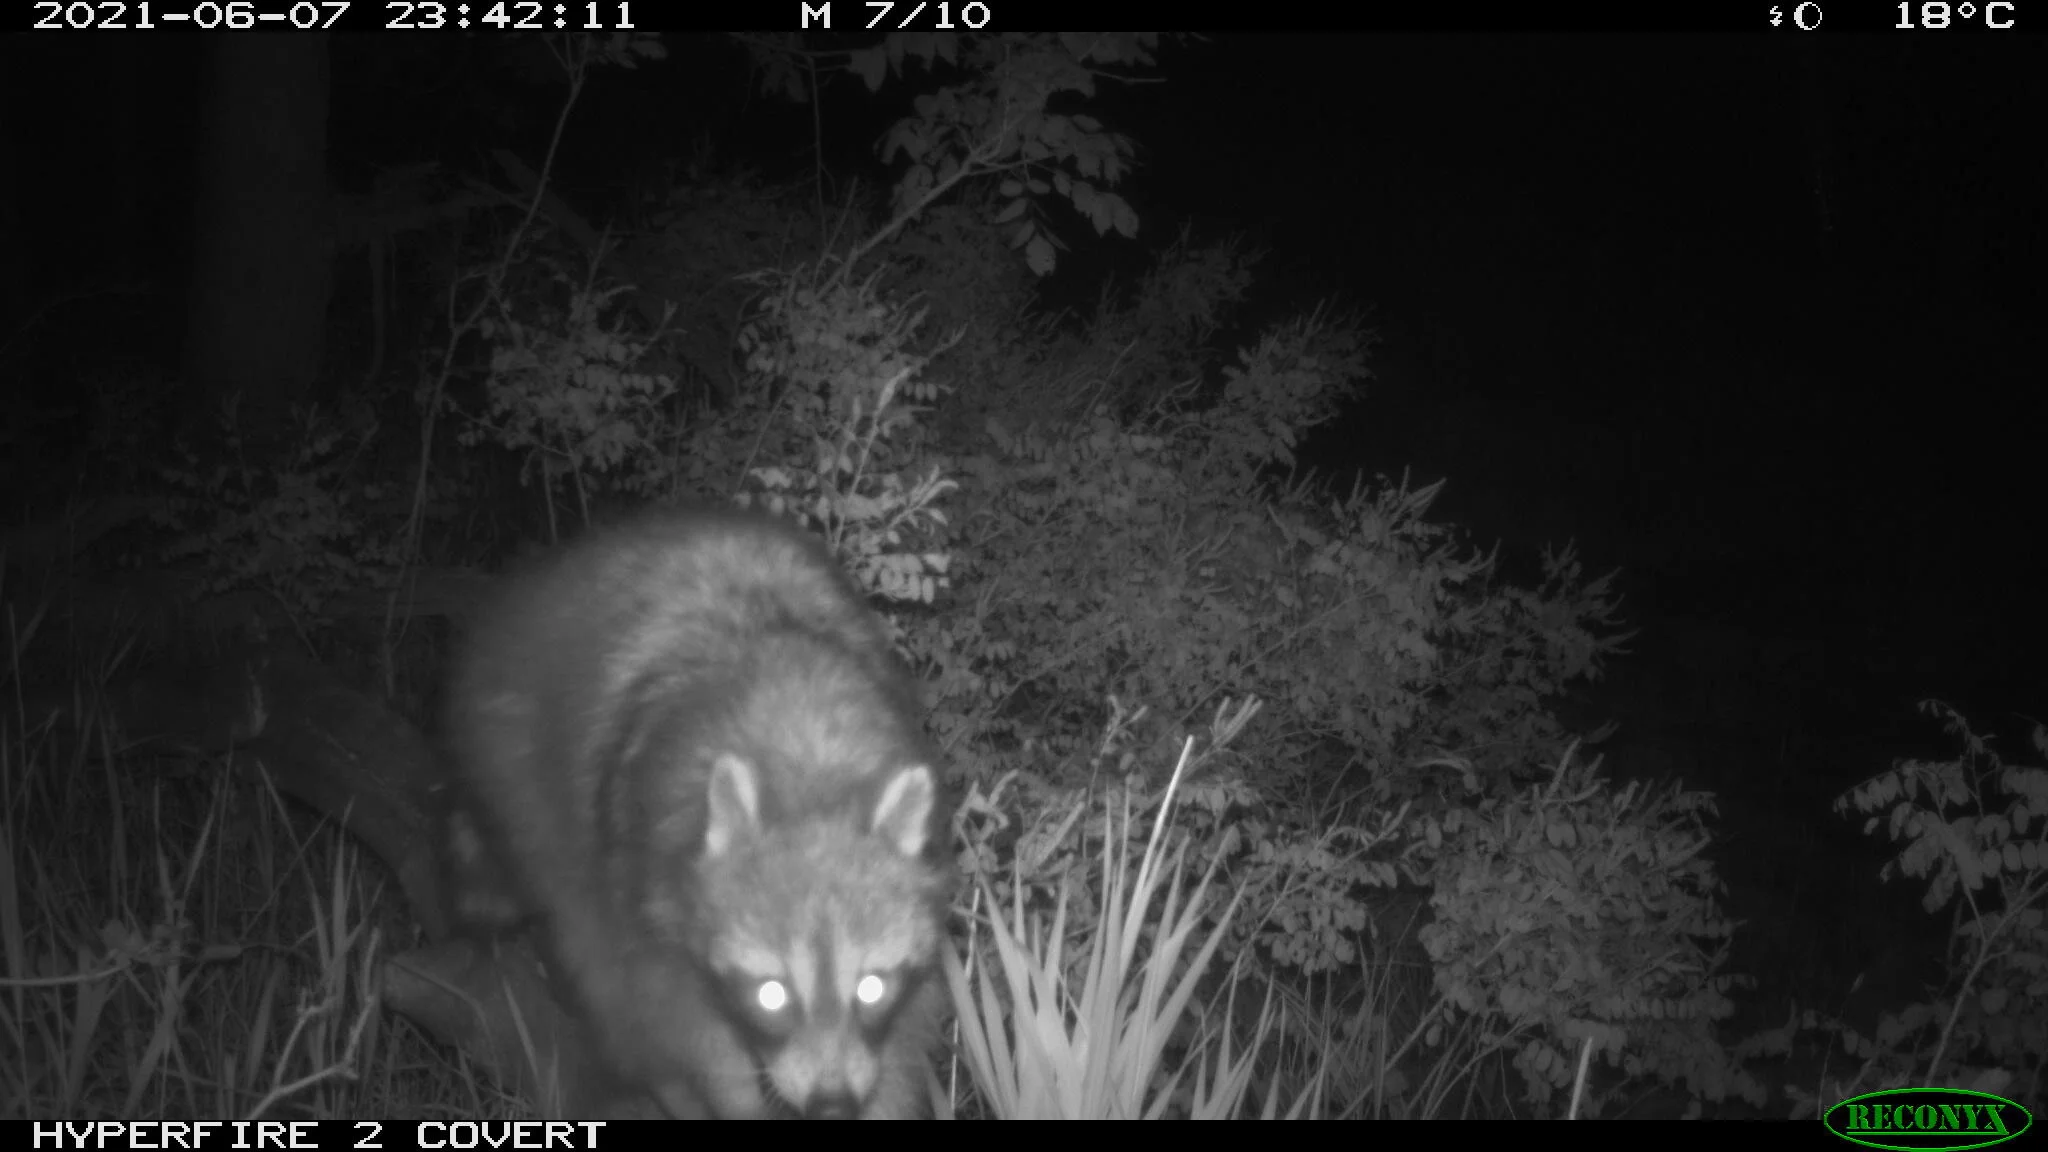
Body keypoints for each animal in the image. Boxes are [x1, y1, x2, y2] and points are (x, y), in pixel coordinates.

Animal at [443, 510, 949, 1119]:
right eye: (772, 994)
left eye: (872, 987)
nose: (831, 1105)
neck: (808, 777)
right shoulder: (650, 894)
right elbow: (685, 1039)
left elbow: (900, 1048)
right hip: (519, 771)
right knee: (583, 938)